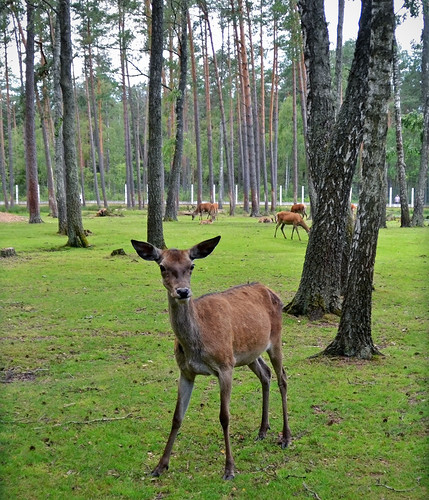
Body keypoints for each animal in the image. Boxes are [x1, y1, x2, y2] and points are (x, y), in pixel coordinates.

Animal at [130, 236, 290, 478]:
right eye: (162, 267)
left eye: (191, 266)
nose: (183, 291)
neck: (197, 343)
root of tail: (270, 289)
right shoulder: (186, 371)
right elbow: (177, 417)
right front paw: (160, 466)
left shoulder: (225, 366)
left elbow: (224, 417)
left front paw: (229, 469)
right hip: (249, 354)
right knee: (266, 374)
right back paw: (262, 430)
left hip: (275, 339)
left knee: (283, 378)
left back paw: (286, 437)